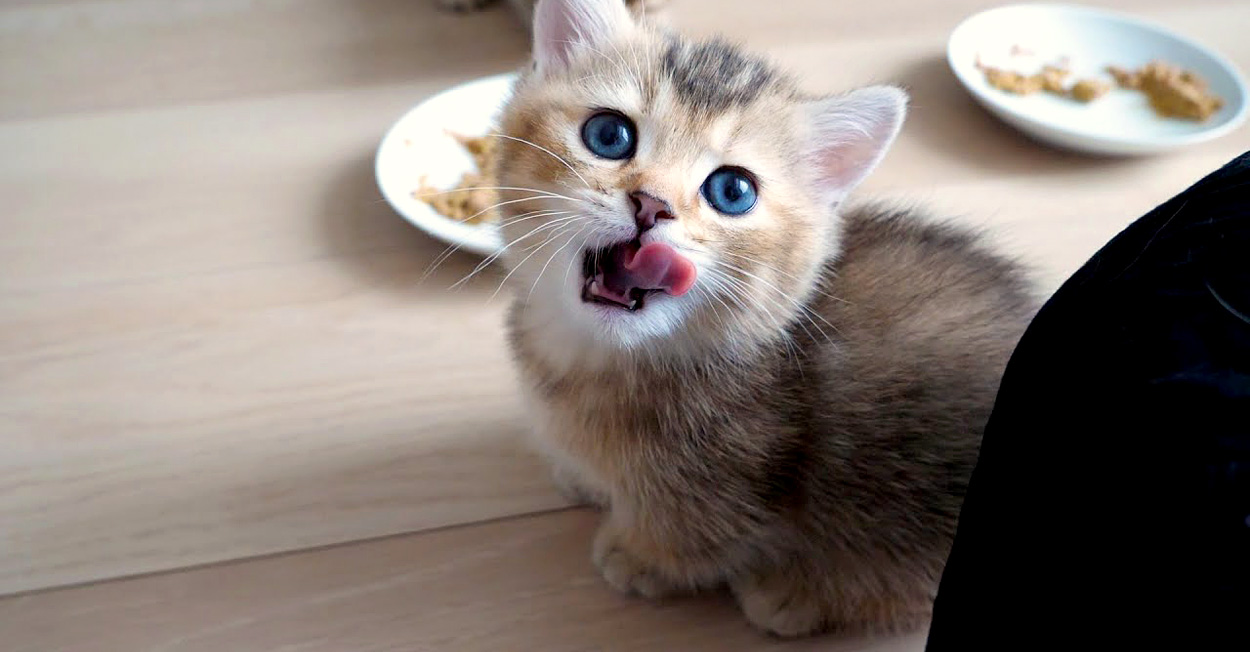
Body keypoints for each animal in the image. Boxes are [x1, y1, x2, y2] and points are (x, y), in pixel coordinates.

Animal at [488, 0, 1036, 637]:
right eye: (608, 134)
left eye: (733, 191)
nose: (652, 205)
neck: (598, 356)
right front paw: (581, 476)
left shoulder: (728, 481)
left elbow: (694, 534)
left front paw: (639, 557)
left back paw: (794, 597)